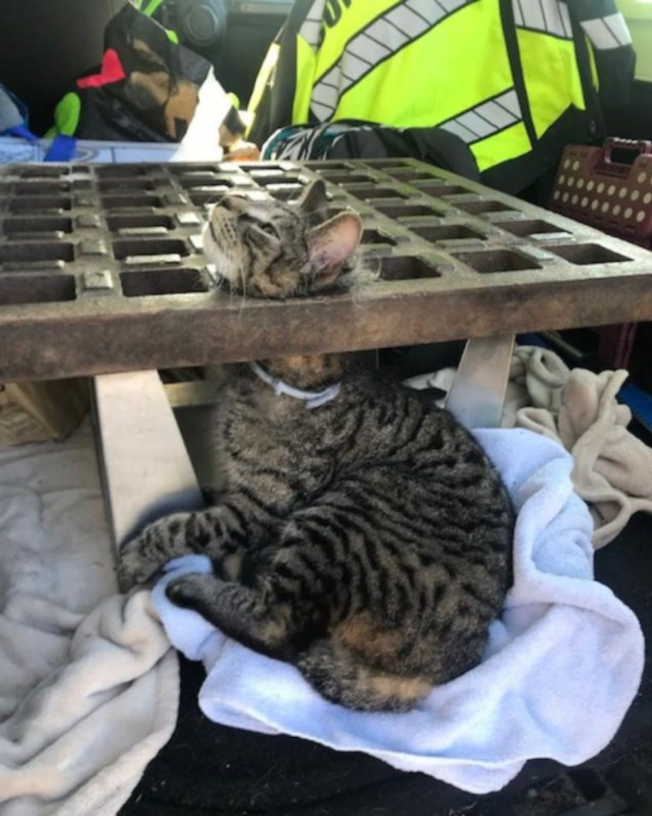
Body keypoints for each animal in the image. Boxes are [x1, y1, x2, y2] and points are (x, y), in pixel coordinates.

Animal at [118, 177, 516, 708]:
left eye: (265, 227)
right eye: (246, 202)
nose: (224, 198)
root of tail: (439, 673)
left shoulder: (252, 509)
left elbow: (180, 526)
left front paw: (136, 556)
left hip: (341, 514)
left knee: (278, 625)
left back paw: (191, 586)